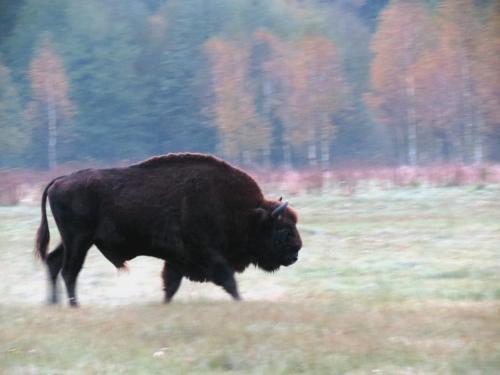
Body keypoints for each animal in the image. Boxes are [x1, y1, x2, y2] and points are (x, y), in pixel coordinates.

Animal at [35, 154, 302, 306]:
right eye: (283, 229)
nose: (296, 253)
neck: (247, 213)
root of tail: (61, 180)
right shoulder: (207, 254)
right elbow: (228, 280)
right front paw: (241, 301)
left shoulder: (178, 259)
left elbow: (171, 284)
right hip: (79, 240)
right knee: (69, 271)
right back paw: (74, 305)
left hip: (73, 241)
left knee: (53, 262)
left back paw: (53, 304)